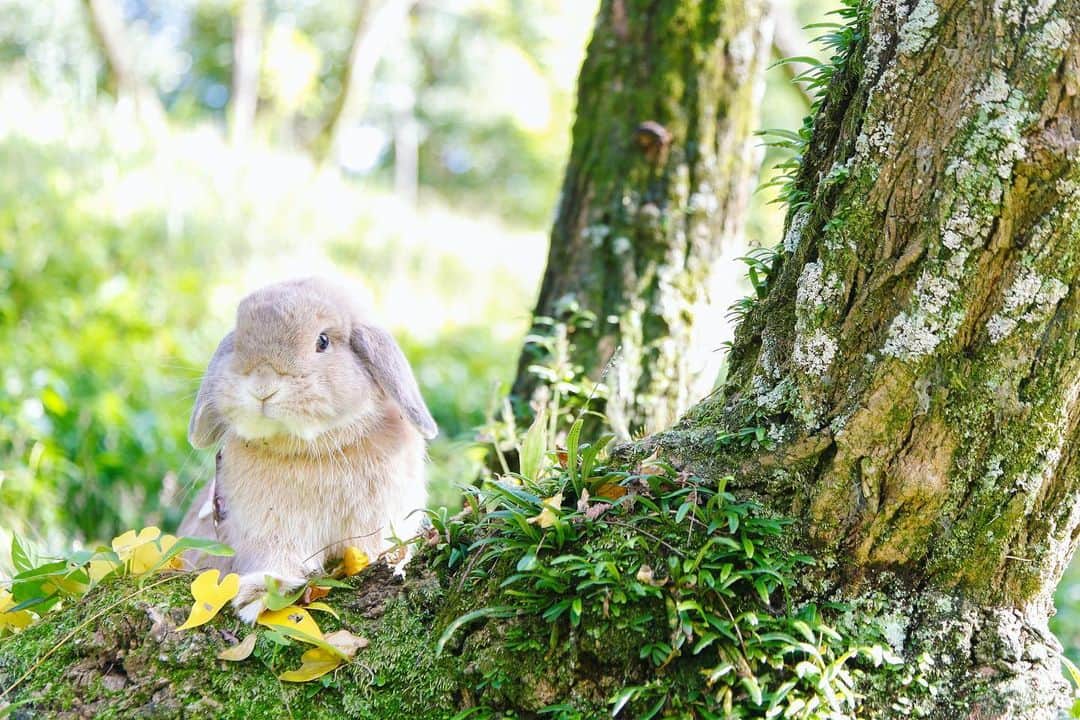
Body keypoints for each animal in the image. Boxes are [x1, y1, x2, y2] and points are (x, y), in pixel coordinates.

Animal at [177, 277, 437, 622]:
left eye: (322, 341)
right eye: (239, 342)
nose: (262, 386)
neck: (313, 449)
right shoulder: (271, 532)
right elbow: (279, 562)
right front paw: (256, 596)